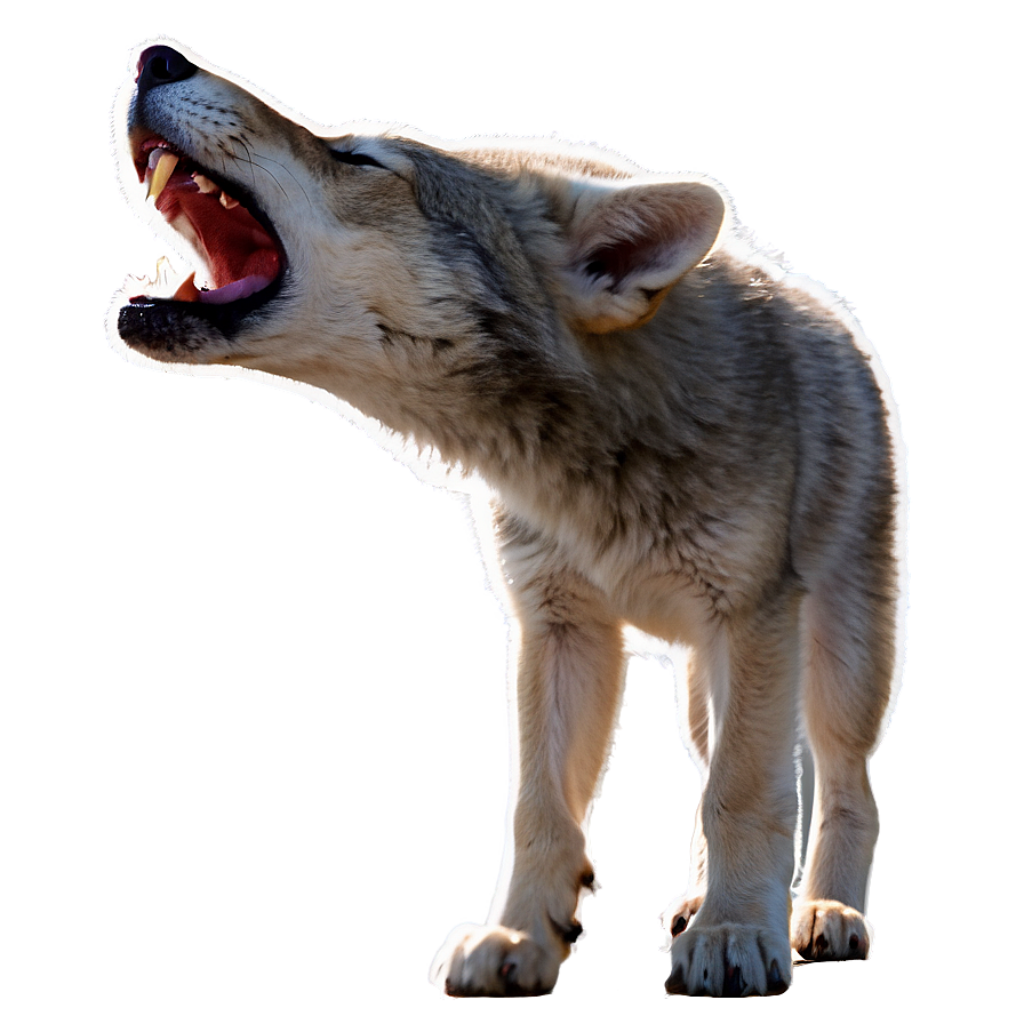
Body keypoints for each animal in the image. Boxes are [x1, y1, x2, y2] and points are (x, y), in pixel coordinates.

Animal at [106, 37, 907, 998]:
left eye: (360, 158)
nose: (154, 56)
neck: (582, 466)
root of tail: (833, 309)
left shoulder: (748, 616)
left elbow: (746, 795)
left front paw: (738, 933)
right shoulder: (553, 628)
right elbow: (539, 809)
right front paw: (521, 935)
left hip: (837, 660)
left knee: (841, 784)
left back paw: (821, 914)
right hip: (702, 688)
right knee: (721, 763)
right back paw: (695, 905)